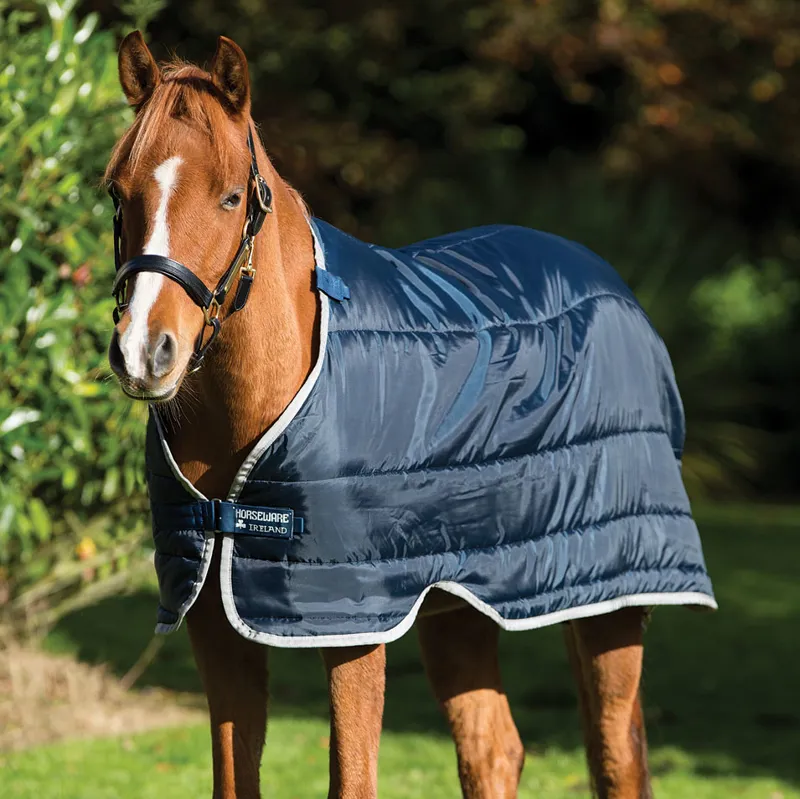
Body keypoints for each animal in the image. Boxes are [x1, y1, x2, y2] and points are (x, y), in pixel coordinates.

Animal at [106, 31, 716, 799]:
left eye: (229, 196)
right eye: (117, 192)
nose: (144, 351)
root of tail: (611, 286)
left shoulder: (355, 626)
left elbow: (352, 780)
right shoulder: (213, 618)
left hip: (612, 601)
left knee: (614, 755)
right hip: (460, 606)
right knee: (492, 750)